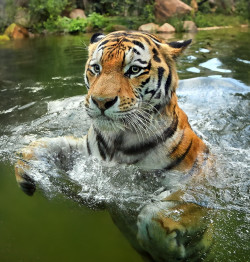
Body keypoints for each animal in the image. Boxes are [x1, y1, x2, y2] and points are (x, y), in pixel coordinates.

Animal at [15, 32, 214, 262]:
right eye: (96, 68)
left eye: (134, 70)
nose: (101, 102)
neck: (119, 140)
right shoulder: (86, 157)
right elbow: (42, 144)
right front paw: (25, 172)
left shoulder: (198, 181)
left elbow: (156, 213)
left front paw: (167, 251)